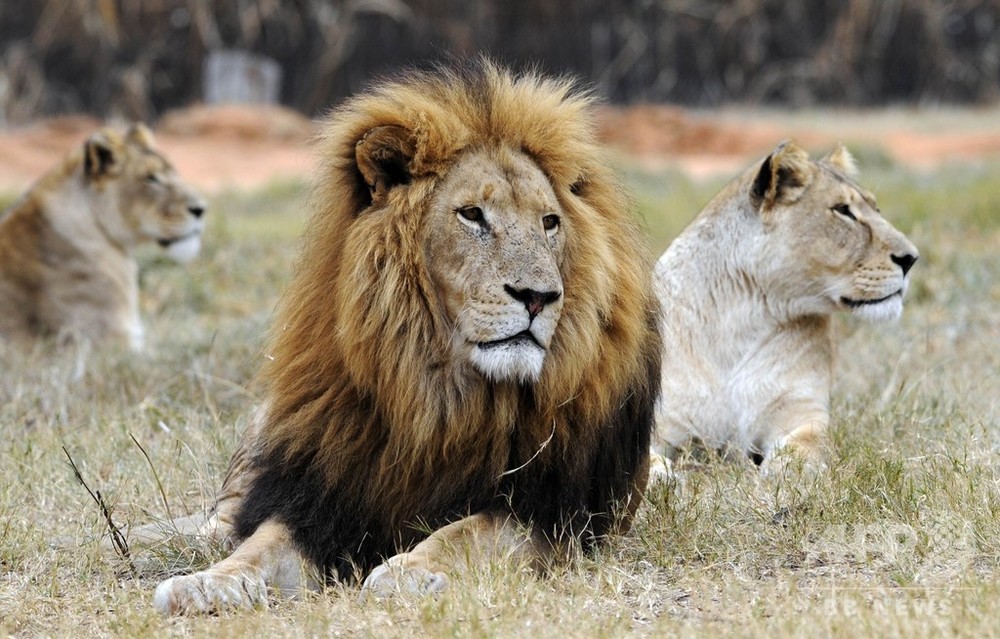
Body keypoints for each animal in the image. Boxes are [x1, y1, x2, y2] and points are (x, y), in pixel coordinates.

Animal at [148, 61, 660, 616]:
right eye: (472, 215)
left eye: (550, 223)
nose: (538, 297)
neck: (439, 392)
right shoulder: (323, 499)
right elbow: (260, 543)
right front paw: (206, 582)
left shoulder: (553, 512)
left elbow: (466, 533)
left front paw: (408, 571)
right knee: (224, 517)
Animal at [652, 141, 916, 480]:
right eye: (843, 210)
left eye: (876, 209)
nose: (911, 258)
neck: (740, 321)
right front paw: (659, 478)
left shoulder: (802, 412)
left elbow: (805, 447)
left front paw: (786, 474)